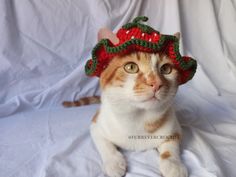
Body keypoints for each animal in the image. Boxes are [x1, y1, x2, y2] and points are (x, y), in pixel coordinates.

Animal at [62, 28, 188, 177]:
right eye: (131, 67)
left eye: (166, 69)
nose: (156, 84)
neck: (138, 117)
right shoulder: (96, 125)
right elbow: (104, 144)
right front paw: (114, 163)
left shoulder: (175, 128)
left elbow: (171, 145)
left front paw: (173, 165)